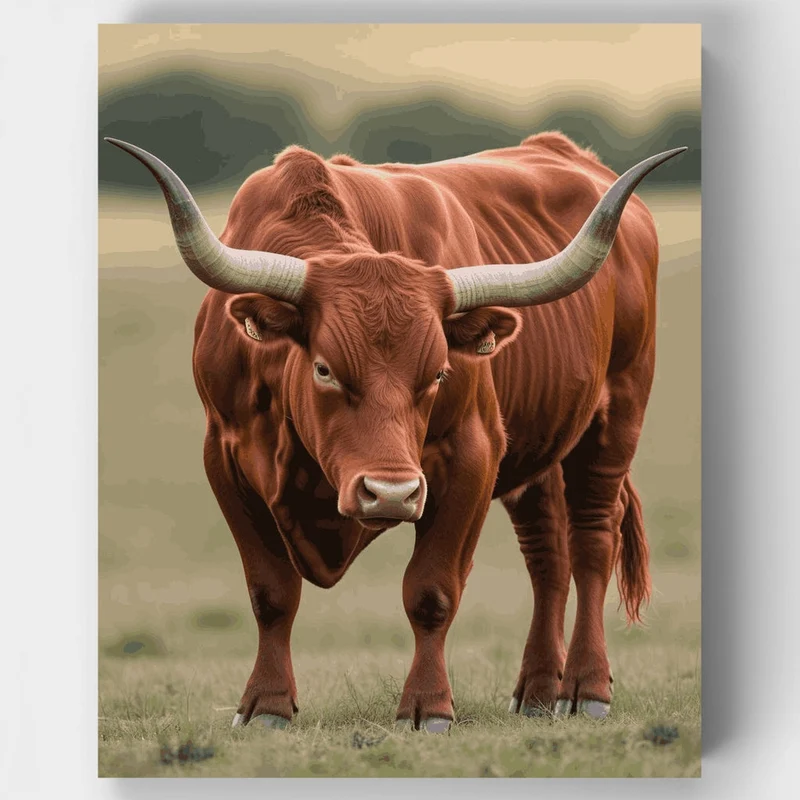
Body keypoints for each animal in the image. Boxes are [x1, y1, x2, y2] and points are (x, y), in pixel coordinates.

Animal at [105, 132, 685, 732]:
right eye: (325, 369)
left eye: (439, 373)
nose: (389, 493)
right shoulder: (226, 458)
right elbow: (271, 591)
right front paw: (266, 703)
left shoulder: (472, 457)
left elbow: (431, 591)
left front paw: (428, 705)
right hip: (540, 450)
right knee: (547, 553)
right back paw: (538, 691)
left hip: (616, 417)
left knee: (592, 540)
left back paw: (585, 687)